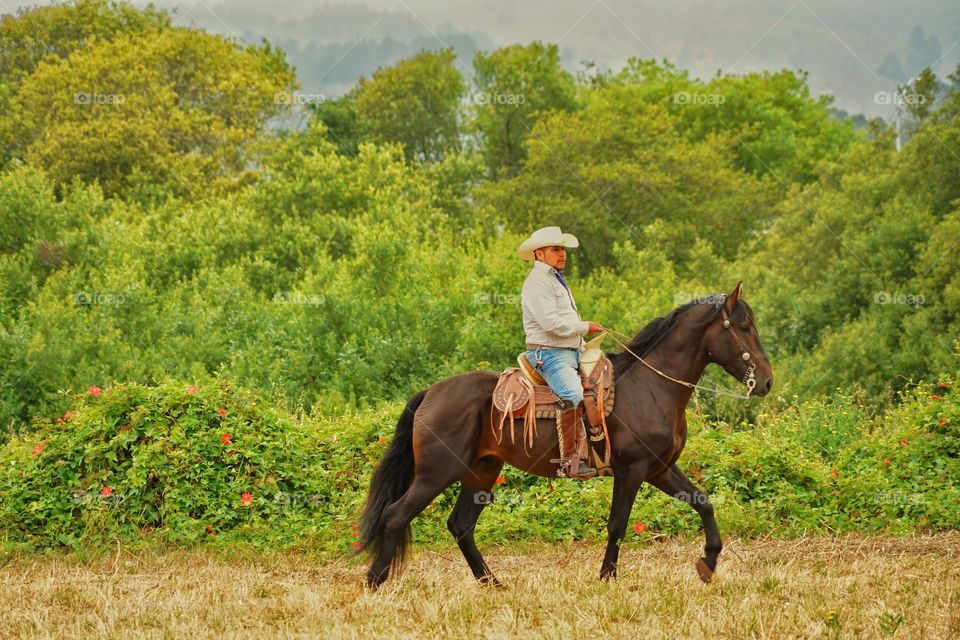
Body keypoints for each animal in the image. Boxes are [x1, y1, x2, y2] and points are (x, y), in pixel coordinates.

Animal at [358, 282, 772, 588]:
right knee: (395, 515)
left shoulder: (659, 469)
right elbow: (618, 524)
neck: (650, 385)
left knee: (460, 525)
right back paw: (376, 582)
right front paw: (607, 578)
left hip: (482, 471)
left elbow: (704, 502)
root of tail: (430, 392)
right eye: (745, 328)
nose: (767, 381)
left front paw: (708, 563)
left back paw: (493, 583)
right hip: (436, 473)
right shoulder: (633, 470)